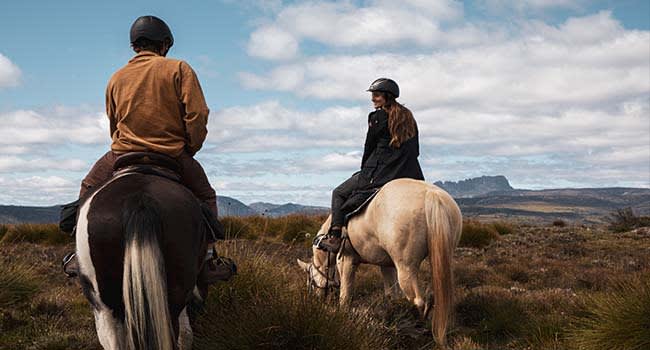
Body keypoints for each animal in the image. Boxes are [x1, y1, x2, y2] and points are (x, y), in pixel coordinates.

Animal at [296, 179, 458, 346]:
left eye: (311, 280)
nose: (316, 301)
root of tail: (432, 195)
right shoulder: (386, 266)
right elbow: (391, 294)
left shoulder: (346, 261)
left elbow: (345, 295)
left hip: (406, 268)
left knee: (418, 301)